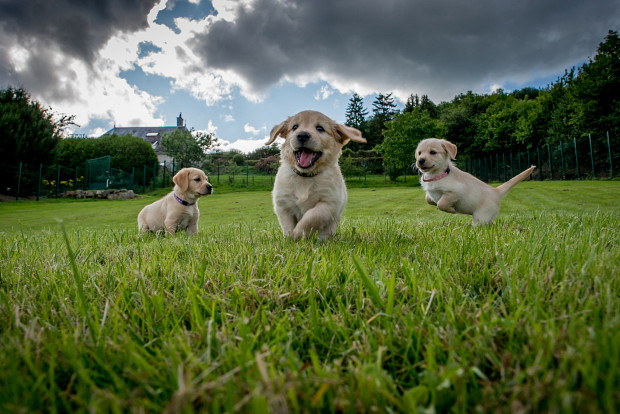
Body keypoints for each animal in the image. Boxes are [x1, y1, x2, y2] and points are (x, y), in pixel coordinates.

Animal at [266, 110, 364, 239]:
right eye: (295, 127)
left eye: (320, 128)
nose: (302, 135)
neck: (305, 176)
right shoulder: (282, 204)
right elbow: (287, 225)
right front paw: (290, 238)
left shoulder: (330, 203)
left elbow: (312, 216)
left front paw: (299, 233)